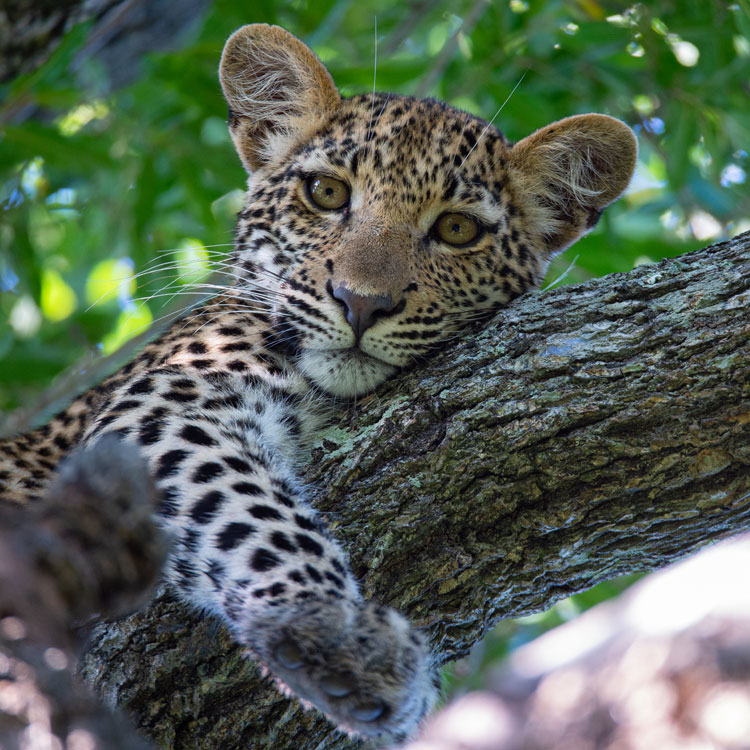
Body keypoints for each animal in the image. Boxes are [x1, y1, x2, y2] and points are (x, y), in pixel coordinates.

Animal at [0, 22, 640, 748]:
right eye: (327, 194)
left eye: (457, 230)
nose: (361, 303)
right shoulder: (165, 403)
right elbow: (250, 510)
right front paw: (337, 631)